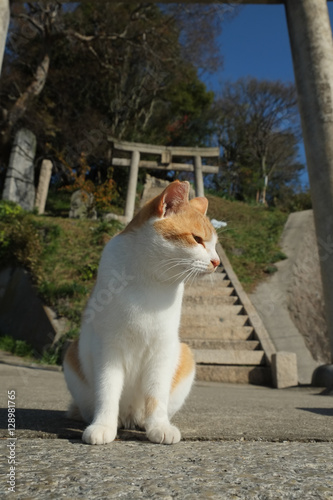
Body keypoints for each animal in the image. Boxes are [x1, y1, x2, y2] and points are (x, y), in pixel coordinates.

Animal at [63, 180, 220, 446]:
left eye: (215, 246)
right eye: (197, 239)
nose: (217, 262)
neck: (150, 282)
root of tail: (129, 417)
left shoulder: (162, 349)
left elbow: (156, 395)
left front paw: (159, 426)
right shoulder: (107, 348)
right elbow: (107, 391)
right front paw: (103, 425)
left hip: (185, 354)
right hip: (72, 354)